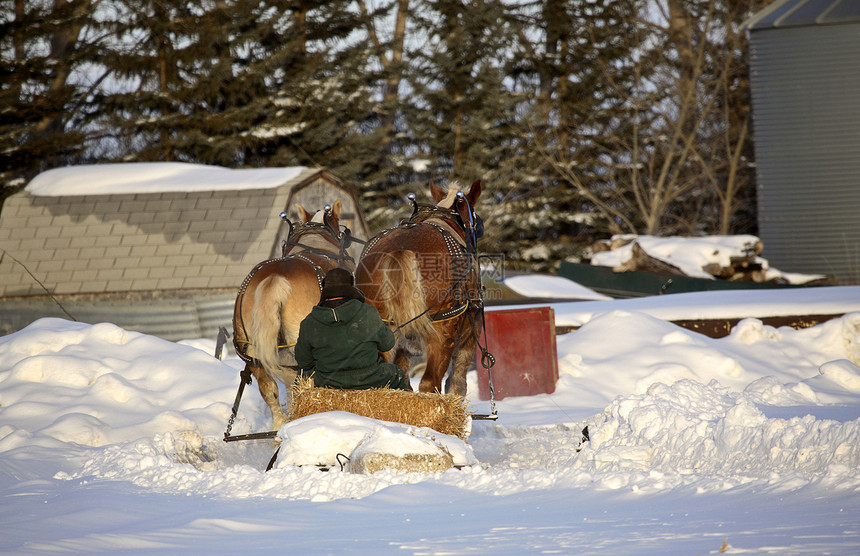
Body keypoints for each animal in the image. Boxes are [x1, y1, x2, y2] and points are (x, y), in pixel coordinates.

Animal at [352, 181, 480, 396]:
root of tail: (400, 250)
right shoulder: (469, 333)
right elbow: (457, 383)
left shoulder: (402, 347)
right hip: (442, 335)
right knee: (430, 383)